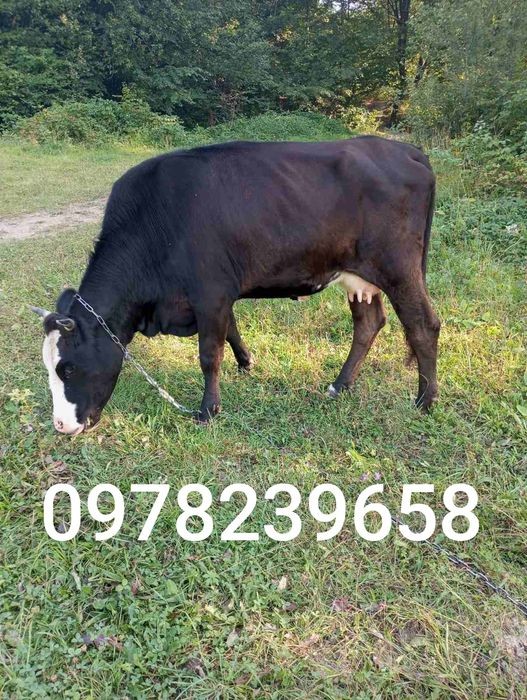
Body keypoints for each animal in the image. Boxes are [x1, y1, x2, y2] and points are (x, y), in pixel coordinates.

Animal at [32, 135, 439, 434]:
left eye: (67, 368)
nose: (61, 425)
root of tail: (405, 150)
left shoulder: (209, 292)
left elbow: (209, 355)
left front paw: (207, 410)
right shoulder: (219, 292)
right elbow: (231, 330)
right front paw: (246, 363)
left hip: (399, 266)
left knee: (423, 325)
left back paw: (425, 401)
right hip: (359, 276)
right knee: (369, 323)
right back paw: (340, 385)